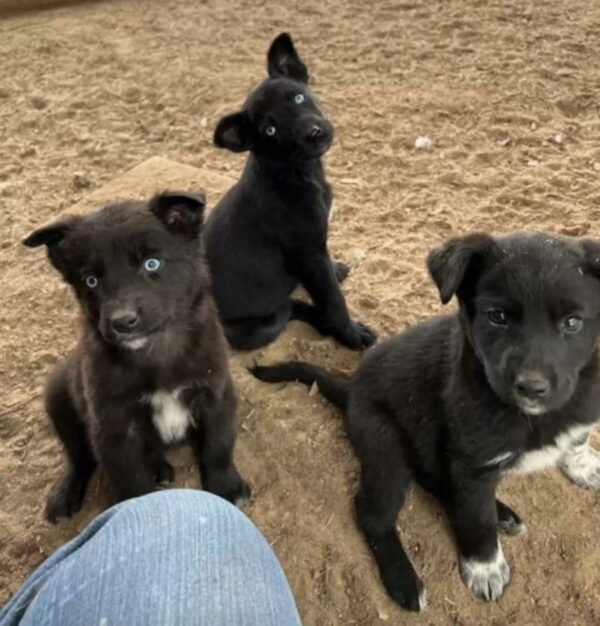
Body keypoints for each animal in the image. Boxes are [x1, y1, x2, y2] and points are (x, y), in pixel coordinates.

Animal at [24, 191, 250, 520]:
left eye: (151, 263)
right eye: (90, 280)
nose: (122, 321)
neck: (156, 351)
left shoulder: (216, 394)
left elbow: (218, 445)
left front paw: (227, 487)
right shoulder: (113, 427)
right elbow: (130, 480)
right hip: (58, 398)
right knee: (78, 457)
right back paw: (66, 494)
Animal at [204, 31, 378, 352]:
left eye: (298, 97)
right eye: (269, 130)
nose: (314, 133)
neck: (296, 171)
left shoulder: (315, 250)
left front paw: (335, 269)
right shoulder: (307, 251)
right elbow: (334, 300)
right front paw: (350, 335)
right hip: (262, 324)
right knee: (288, 309)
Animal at [251, 230, 600, 608]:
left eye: (572, 322)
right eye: (497, 317)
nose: (531, 388)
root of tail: (350, 389)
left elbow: (577, 438)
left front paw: (584, 466)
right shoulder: (470, 463)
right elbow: (477, 519)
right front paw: (485, 568)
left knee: (434, 479)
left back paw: (503, 512)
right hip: (387, 445)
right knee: (372, 513)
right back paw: (404, 580)